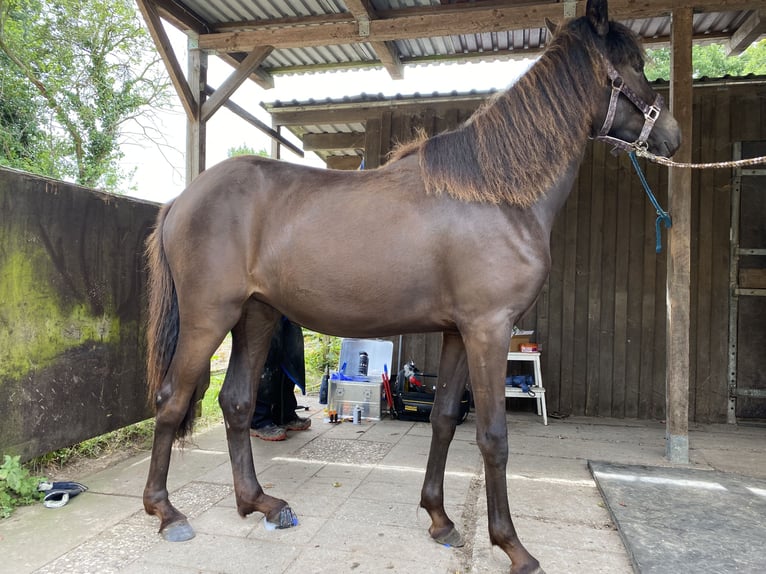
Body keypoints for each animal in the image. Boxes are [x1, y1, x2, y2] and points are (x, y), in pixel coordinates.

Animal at [141, 1, 680, 572]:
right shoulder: (489, 330)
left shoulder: (458, 332)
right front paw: (512, 546)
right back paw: (168, 513)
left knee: (237, 403)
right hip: (208, 318)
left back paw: (260, 503)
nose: (672, 137)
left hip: (257, 316)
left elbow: (444, 418)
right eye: (638, 65)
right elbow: (493, 436)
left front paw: (440, 520)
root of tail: (181, 199)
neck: (496, 194)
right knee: (172, 399)